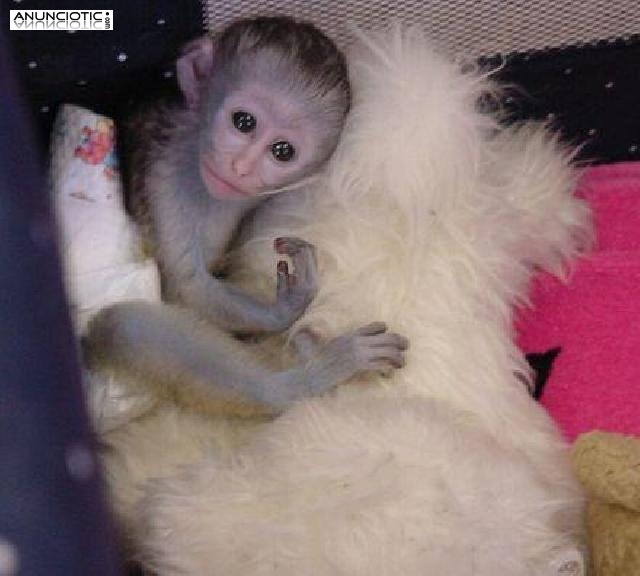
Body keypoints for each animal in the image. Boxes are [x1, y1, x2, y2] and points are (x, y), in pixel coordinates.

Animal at [83, 17, 409, 414]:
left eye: (282, 151)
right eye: (243, 122)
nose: (240, 167)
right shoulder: (165, 174)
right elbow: (187, 287)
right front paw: (282, 312)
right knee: (123, 327)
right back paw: (305, 380)